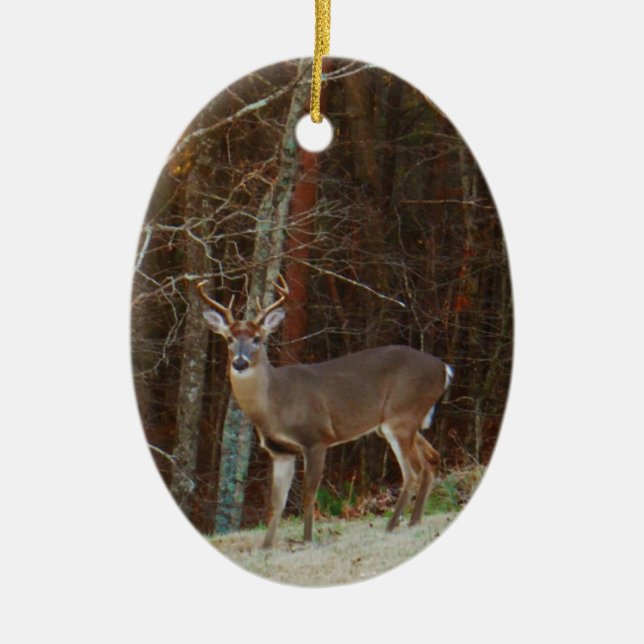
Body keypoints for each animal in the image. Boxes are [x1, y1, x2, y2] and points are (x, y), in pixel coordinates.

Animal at [197, 275, 453, 548]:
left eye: (257, 338)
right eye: (229, 339)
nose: (240, 362)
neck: (274, 403)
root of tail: (444, 368)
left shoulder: (316, 438)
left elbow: (308, 494)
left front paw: (307, 540)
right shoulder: (281, 452)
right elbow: (276, 503)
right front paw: (266, 546)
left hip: (400, 416)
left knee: (412, 471)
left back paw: (391, 526)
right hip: (400, 422)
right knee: (431, 459)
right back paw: (414, 522)